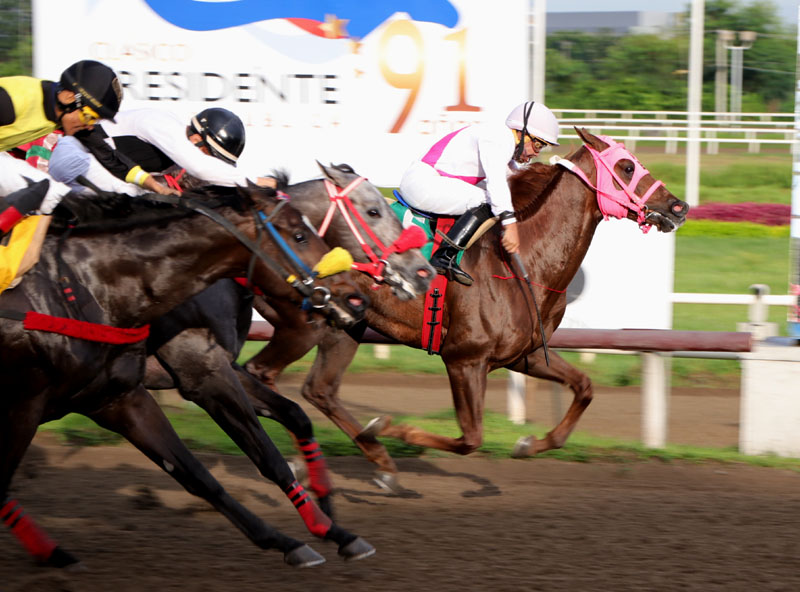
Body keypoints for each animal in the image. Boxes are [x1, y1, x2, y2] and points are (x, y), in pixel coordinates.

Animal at [0, 184, 376, 568]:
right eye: (299, 236)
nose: (356, 300)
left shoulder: (120, 395)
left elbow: (211, 465)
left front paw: (327, 526)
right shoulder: (201, 373)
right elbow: (267, 455)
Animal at [247, 130, 692, 490]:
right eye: (626, 165)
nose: (679, 207)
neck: (522, 261)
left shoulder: (525, 354)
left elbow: (584, 388)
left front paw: (529, 443)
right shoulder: (464, 359)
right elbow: (470, 439)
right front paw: (394, 428)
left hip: (344, 325)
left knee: (318, 389)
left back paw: (370, 461)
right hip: (305, 322)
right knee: (263, 373)